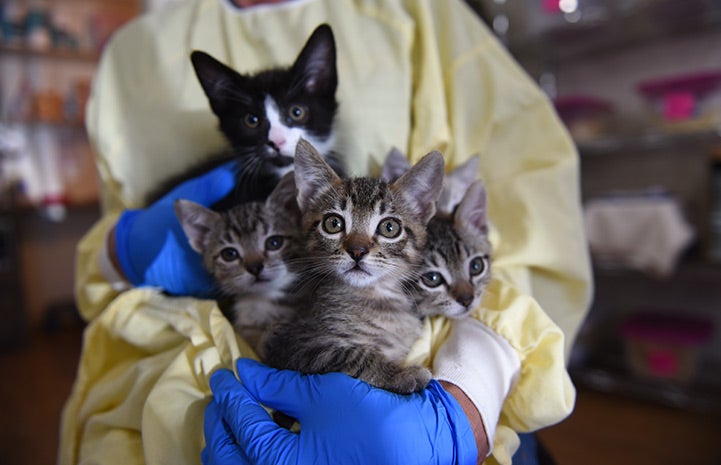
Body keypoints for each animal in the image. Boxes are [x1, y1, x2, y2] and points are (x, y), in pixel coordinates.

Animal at [264, 138, 444, 392]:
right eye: (333, 223)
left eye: (389, 227)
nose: (357, 251)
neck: (374, 298)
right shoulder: (290, 344)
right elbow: (352, 355)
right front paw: (400, 375)